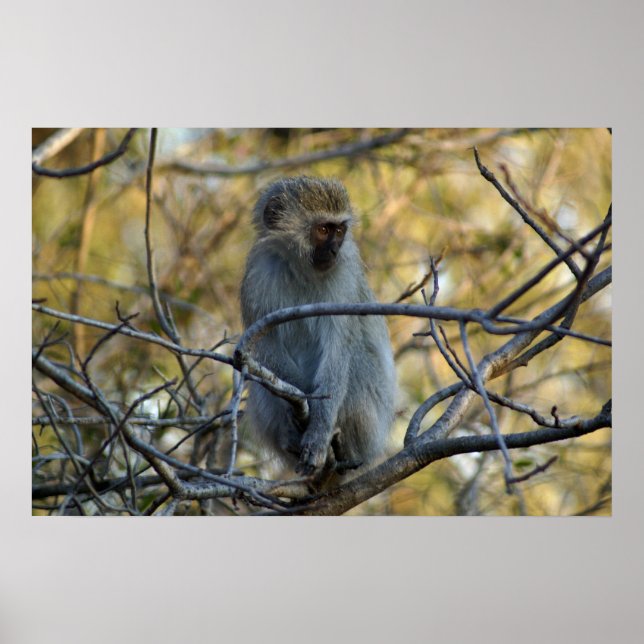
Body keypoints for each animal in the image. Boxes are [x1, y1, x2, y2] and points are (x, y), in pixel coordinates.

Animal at [240, 176, 396, 478]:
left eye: (340, 231)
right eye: (323, 230)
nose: (334, 250)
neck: (301, 270)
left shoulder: (344, 278)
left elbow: (339, 351)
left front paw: (318, 433)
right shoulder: (258, 273)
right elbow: (265, 345)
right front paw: (301, 399)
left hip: (370, 423)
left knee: (355, 359)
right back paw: (289, 438)